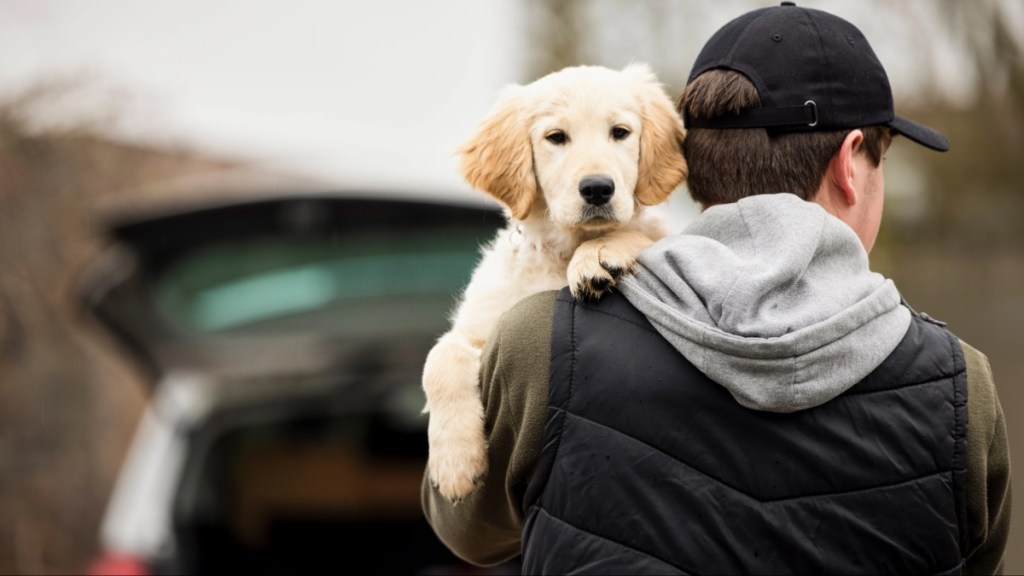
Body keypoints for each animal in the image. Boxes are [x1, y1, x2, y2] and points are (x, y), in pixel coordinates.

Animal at [423, 62, 688, 500]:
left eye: (620, 132)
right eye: (556, 137)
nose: (597, 188)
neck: (561, 251)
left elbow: (642, 234)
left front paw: (599, 253)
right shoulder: (480, 325)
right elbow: (439, 358)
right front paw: (455, 463)